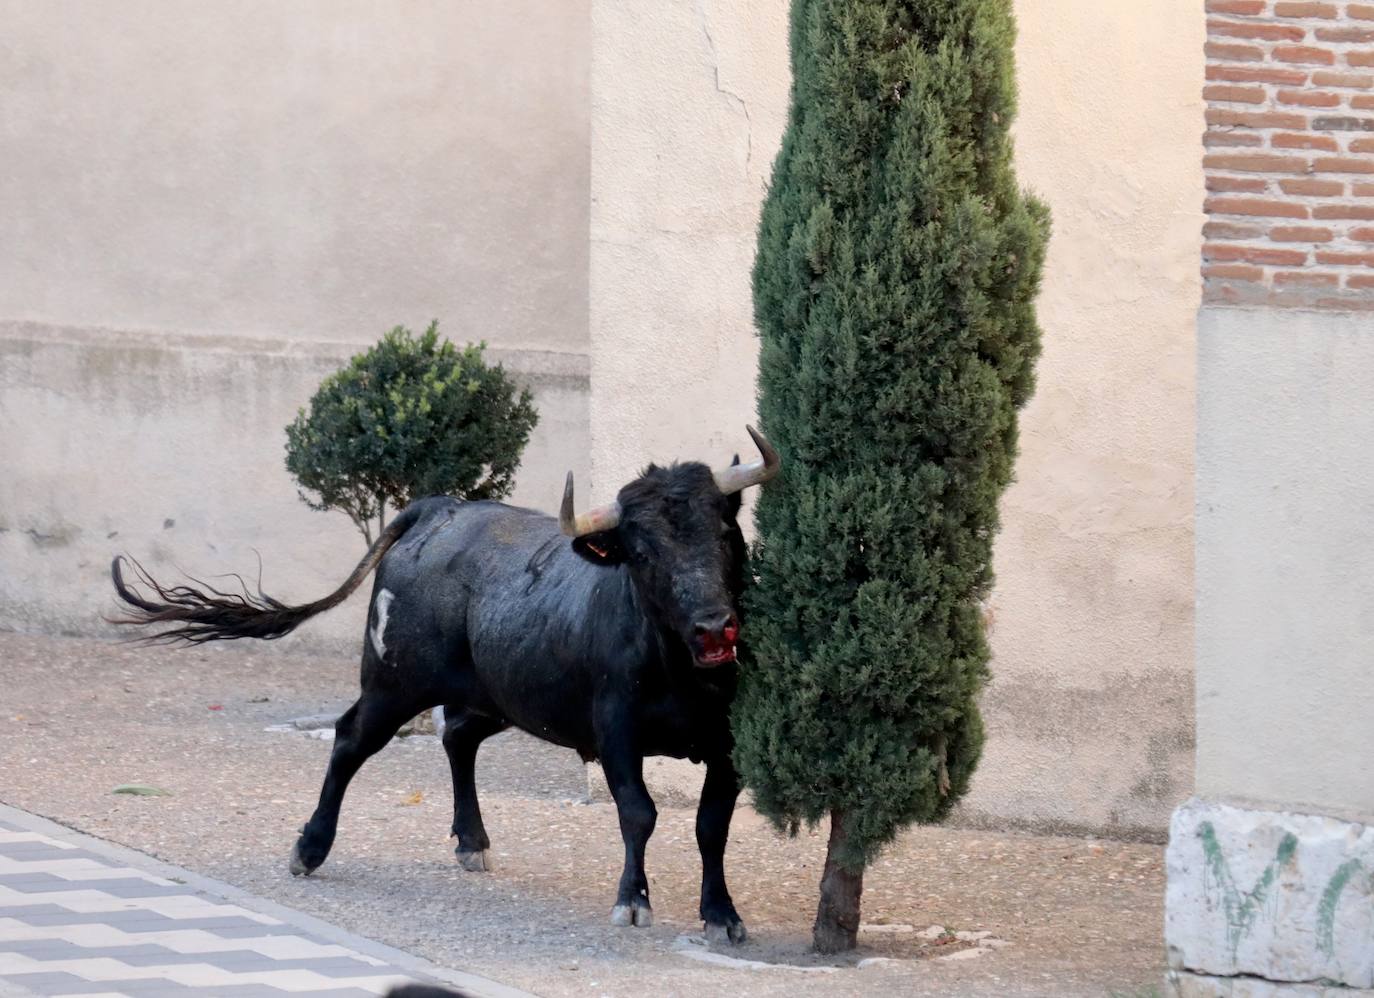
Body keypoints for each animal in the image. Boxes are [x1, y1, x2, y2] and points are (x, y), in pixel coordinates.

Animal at [107, 431, 780, 945]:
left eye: (726, 534)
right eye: (642, 553)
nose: (714, 626)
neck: (681, 670)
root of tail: (440, 509)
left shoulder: (730, 746)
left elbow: (711, 825)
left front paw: (721, 915)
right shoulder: (616, 731)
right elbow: (638, 812)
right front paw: (633, 901)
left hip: (495, 696)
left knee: (457, 735)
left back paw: (471, 842)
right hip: (392, 683)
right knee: (351, 739)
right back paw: (310, 848)